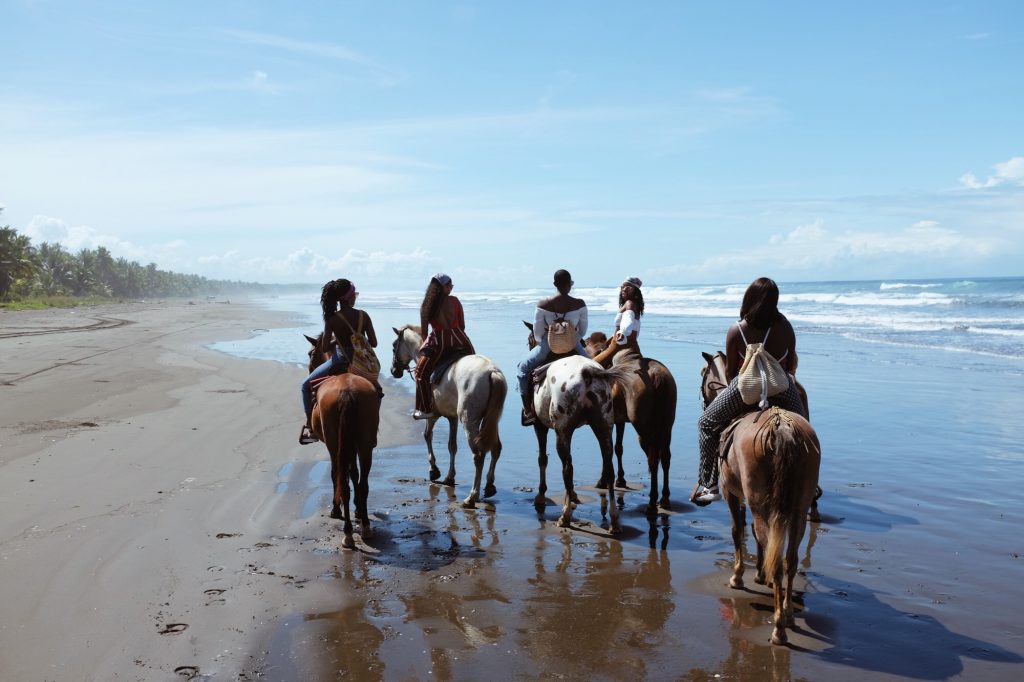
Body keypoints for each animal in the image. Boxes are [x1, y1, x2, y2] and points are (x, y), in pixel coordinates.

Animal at [305, 334, 380, 549]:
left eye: (311, 353)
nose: (310, 368)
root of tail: (348, 391)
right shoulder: (352, 446)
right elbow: (354, 475)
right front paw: (358, 509)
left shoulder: (335, 447)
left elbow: (336, 474)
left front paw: (336, 509)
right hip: (364, 444)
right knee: (363, 483)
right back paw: (365, 526)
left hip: (334, 443)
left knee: (342, 481)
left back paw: (347, 532)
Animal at [390, 325, 507, 509]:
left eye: (394, 346)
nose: (394, 371)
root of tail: (492, 372)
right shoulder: (452, 418)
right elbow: (452, 446)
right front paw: (449, 477)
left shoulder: (432, 415)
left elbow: (427, 435)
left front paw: (434, 470)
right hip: (491, 421)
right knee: (496, 448)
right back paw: (489, 486)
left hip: (469, 421)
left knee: (478, 455)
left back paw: (472, 496)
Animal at [700, 351, 821, 645]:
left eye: (703, 376)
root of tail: (781, 429)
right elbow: (754, 536)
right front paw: (759, 574)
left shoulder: (733, 495)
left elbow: (737, 531)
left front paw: (739, 577)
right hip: (797, 512)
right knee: (790, 560)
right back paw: (787, 613)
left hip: (760, 505)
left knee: (776, 558)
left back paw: (778, 627)